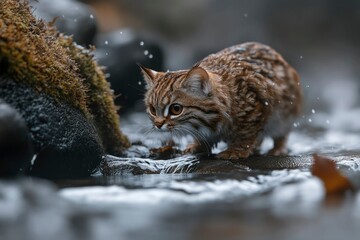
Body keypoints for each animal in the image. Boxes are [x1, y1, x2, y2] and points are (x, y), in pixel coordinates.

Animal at [139, 42, 302, 159]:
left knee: (282, 133)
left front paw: (236, 150)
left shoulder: (256, 106)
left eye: (176, 109)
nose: (158, 124)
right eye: (152, 109)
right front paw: (198, 145)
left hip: (286, 113)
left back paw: (277, 148)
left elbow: (246, 132)